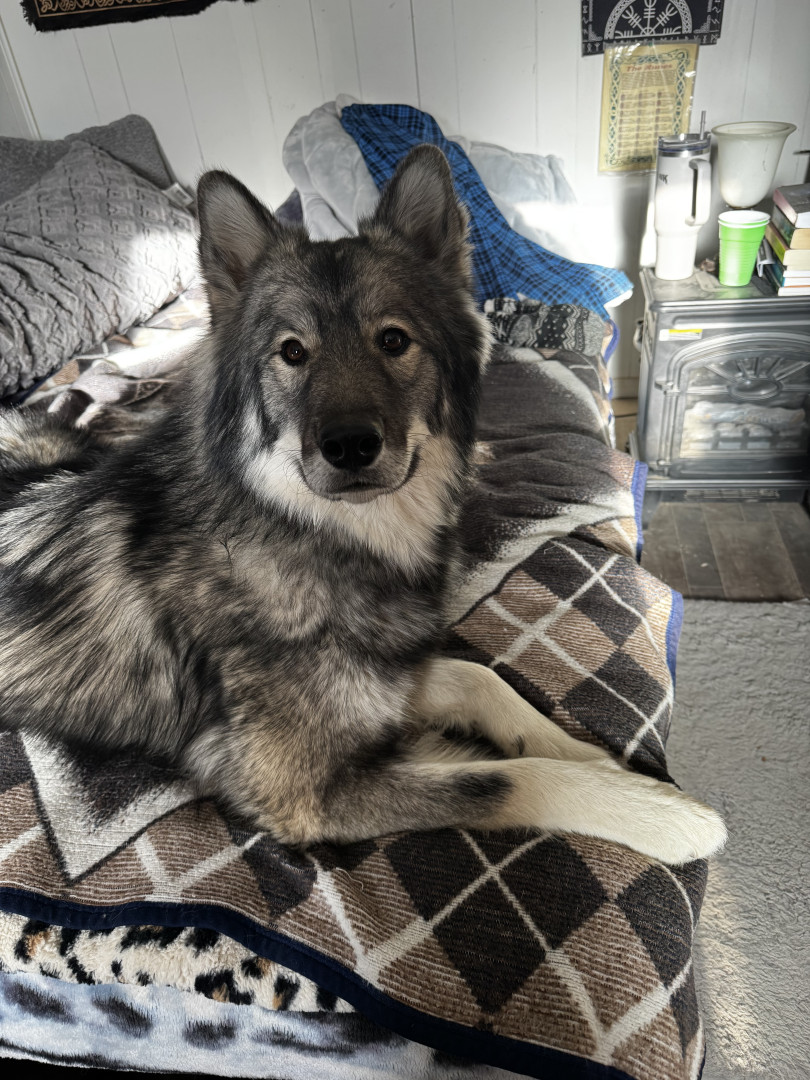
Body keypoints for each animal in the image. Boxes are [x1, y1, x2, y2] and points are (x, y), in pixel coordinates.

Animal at [0, 145, 725, 865]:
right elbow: (506, 778)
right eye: (293, 352)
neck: (317, 534)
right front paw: (660, 813)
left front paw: (601, 761)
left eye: (393, 340)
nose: (349, 446)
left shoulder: (392, 675)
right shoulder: (300, 792)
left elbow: (484, 682)